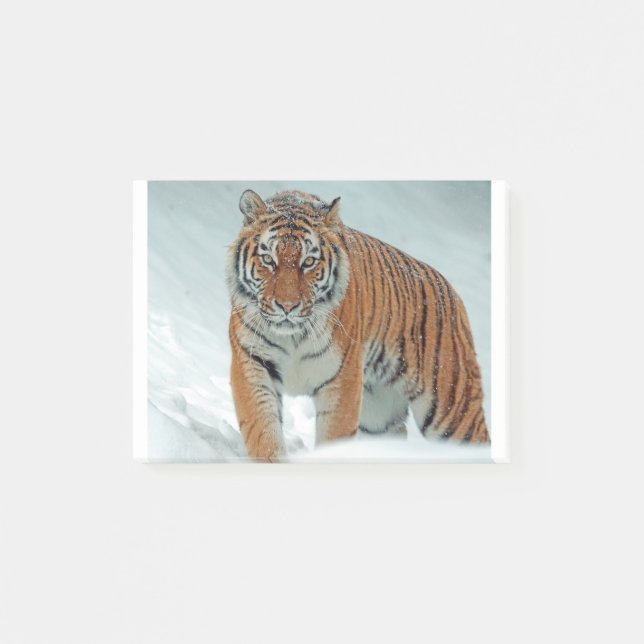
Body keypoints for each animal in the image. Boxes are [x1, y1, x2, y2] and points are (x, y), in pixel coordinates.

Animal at [225, 189, 488, 461]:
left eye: (308, 262)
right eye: (268, 259)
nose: (287, 307)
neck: (293, 336)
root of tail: (452, 292)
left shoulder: (342, 380)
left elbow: (334, 437)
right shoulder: (253, 364)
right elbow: (263, 432)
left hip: (452, 410)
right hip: (379, 417)